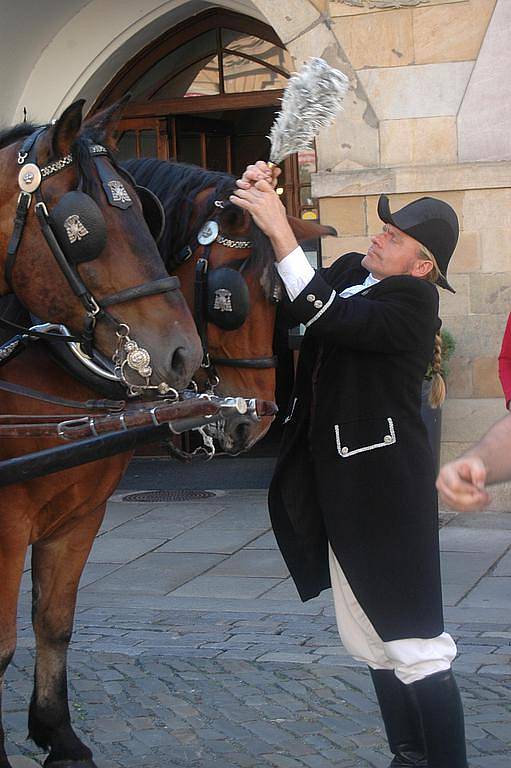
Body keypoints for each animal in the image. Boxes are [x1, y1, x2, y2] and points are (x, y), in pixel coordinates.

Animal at [0, 102, 204, 768]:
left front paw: (58, 735)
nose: (182, 355)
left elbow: (54, 622)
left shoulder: (79, 515)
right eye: (82, 227)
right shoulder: (7, 526)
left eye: (146, 210)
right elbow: (1, 644)